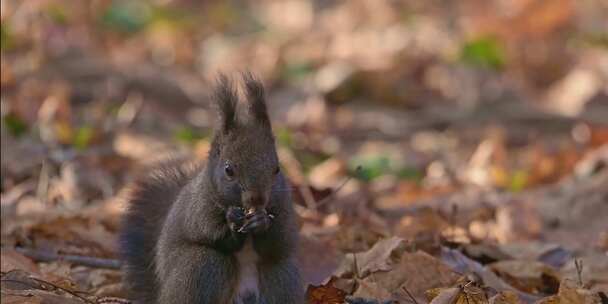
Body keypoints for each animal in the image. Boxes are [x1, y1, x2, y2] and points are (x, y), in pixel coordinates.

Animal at [120, 73, 304, 304]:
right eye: (228, 170)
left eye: (277, 168)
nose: (257, 199)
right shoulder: (198, 208)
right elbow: (212, 234)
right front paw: (233, 219)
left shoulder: (284, 207)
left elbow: (279, 242)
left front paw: (261, 221)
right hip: (201, 266)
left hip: (282, 276)